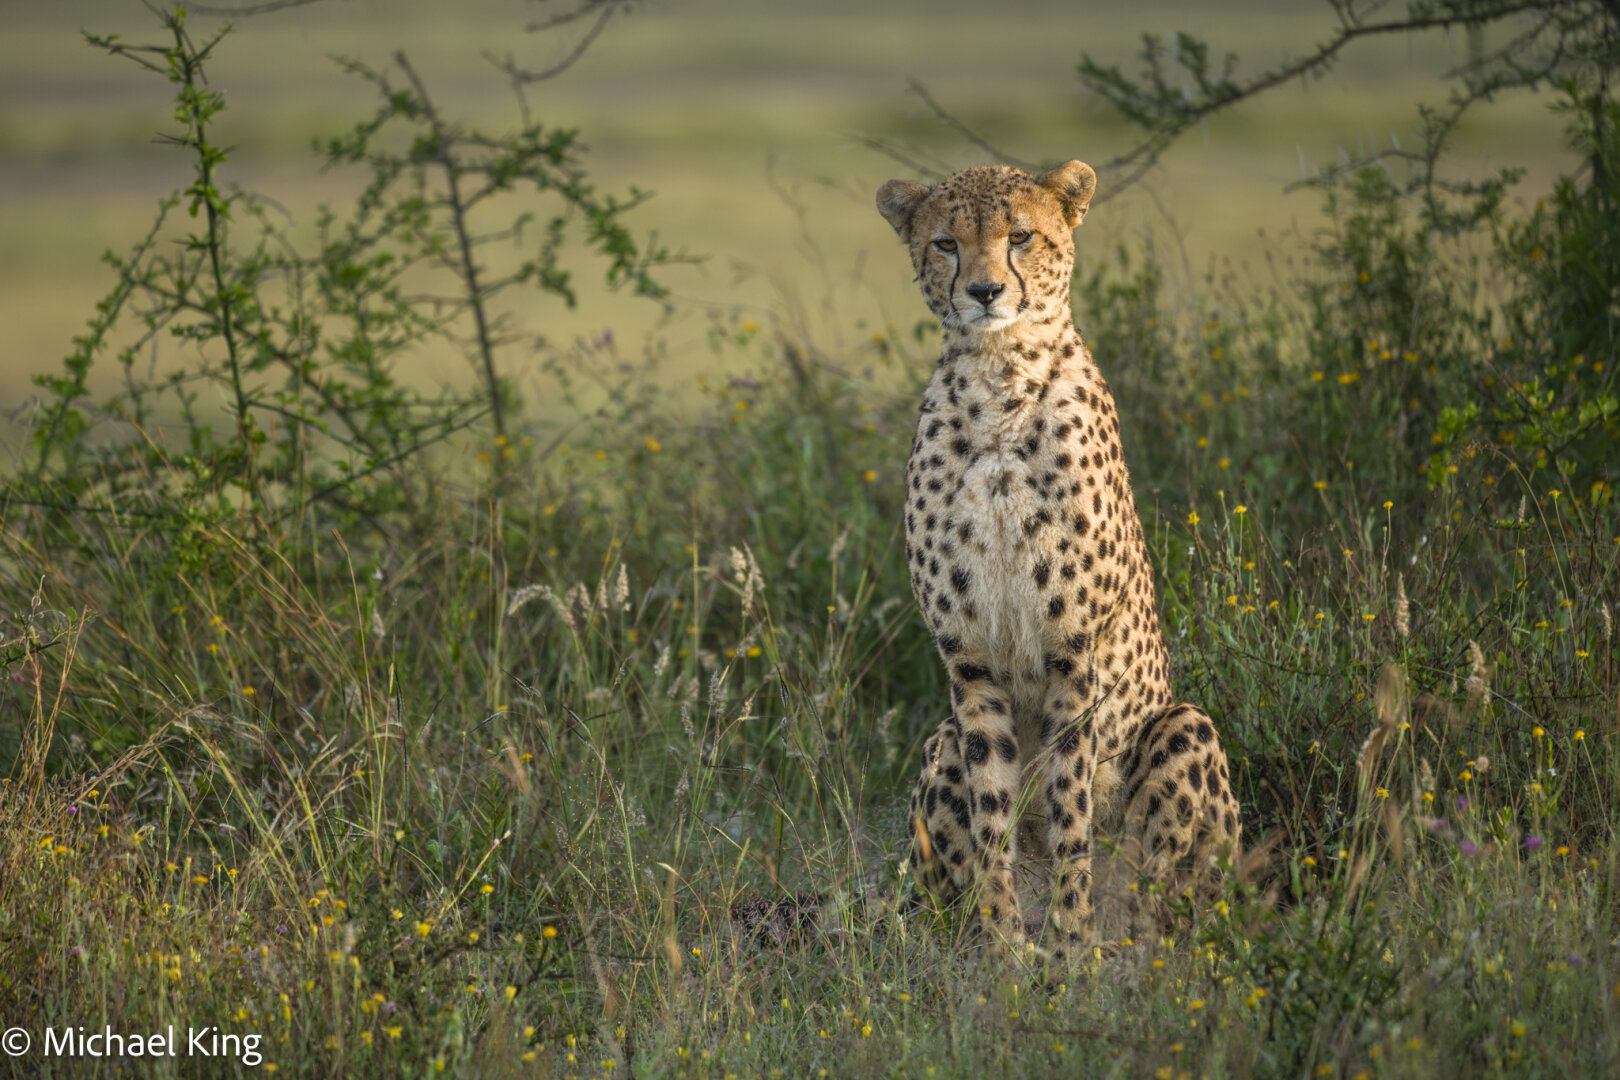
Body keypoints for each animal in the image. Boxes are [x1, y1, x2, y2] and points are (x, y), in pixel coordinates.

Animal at [877, 160, 1242, 961]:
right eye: (946, 242)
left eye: (1020, 236)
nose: (985, 291)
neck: (996, 380)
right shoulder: (969, 660)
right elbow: (992, 816)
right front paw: (1007, 950)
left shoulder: (1073, 652)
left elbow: (1071, 804)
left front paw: (1071, 951)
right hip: (940, 742)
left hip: (1184, 730)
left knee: (1169, 910)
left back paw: (1125, 939)